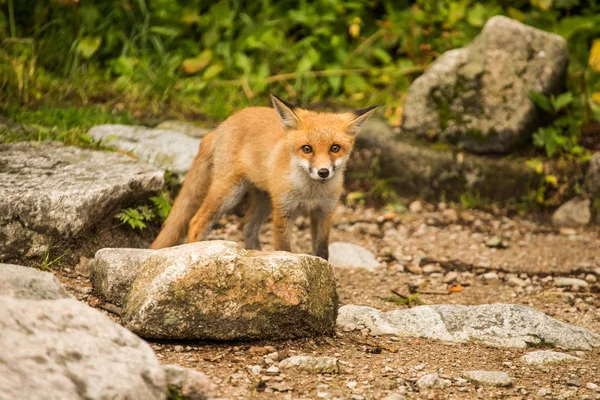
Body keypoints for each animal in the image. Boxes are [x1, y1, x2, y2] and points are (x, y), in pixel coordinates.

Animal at [149, 95, 376, 260]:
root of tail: (223, 124)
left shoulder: (324, 212)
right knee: (196, 222)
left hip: (264, 201)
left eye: (335, 148)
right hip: (229, 193)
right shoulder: (284, 210)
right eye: (307, 149)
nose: (323, 172)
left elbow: (321, 251)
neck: (310, 193)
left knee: (247, 226)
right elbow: (284, 248)